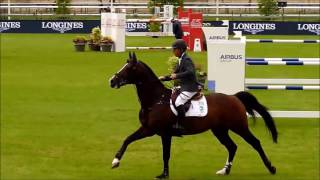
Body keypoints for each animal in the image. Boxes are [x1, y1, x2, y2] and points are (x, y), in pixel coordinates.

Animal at [108, 51, 278, 179]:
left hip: (239, 127)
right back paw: (225, 170)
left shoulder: (161, 132)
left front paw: (164, 175)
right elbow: (128, 139)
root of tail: (234, 97)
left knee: (255, 143)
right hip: (219, 130)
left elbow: (165, 154)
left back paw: (271, 168)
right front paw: (115, 161)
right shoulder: (150, 130)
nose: (112, 81)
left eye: (130, 68)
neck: (156, 100)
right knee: (232, 146)